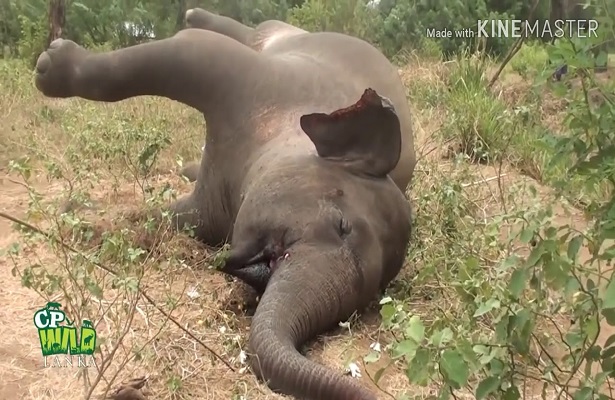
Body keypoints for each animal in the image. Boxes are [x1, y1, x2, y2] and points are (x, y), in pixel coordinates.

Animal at [33, 10, 418, 400]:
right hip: (275, 38)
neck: (280, 136)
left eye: (360, 305)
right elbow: (172, 53)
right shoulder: (251, 79)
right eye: (341, 225)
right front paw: (53, 66)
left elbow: (161, 219)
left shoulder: (214, 208)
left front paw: (76, 211)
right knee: (251, 29)